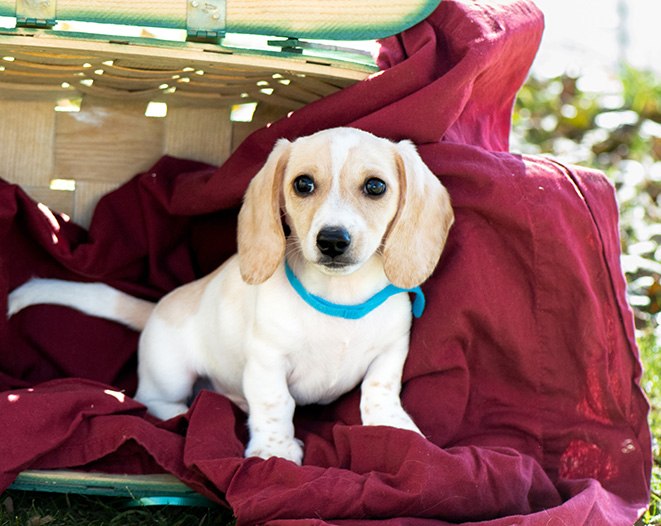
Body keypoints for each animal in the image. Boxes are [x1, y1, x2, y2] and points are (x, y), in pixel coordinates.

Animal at [8, 127, 454, 465]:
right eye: (303, 183)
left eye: (376, 186)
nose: (332, 240)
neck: (340, 298)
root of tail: (160, 305)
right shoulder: (267, 362)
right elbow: (276, 405)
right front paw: (274, 452)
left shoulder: (392, 349)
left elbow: (379, 388)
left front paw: (391, 425)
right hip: (169, 373)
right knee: (150, 400)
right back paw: (193, 409)